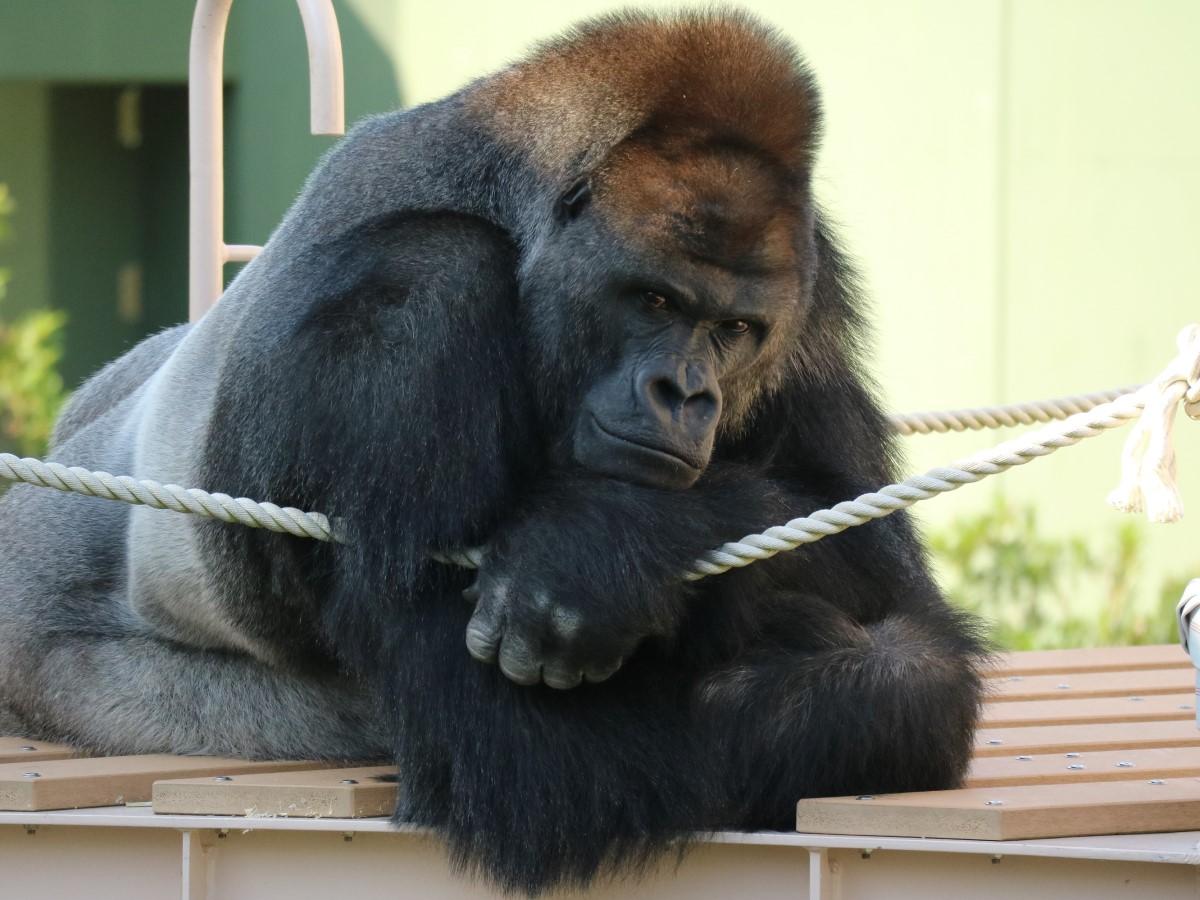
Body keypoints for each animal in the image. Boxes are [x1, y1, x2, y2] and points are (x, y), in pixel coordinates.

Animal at [0, 10, 984, 897]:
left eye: (736, 329)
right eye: (655, 301)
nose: (686, 394)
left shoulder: (812, 295)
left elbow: (881, 579)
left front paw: (602, 553)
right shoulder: (409, 301)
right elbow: (533, 758)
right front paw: (600, 549)